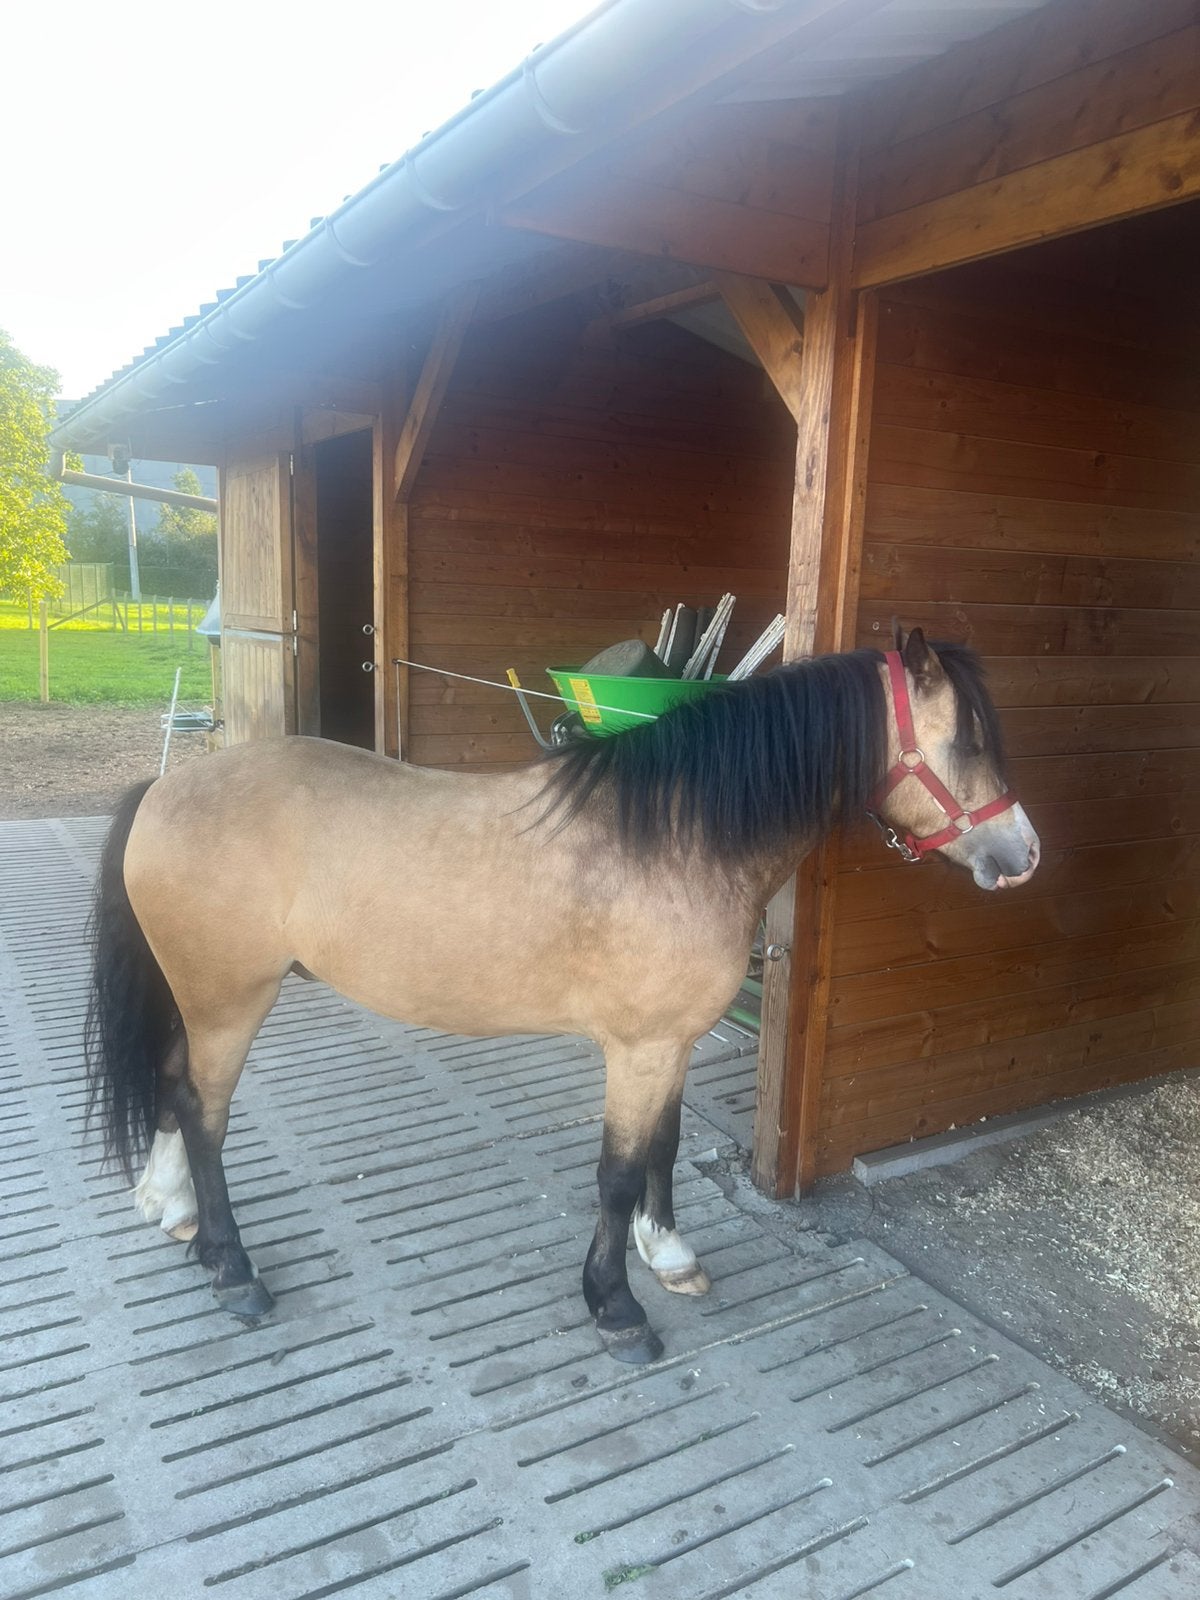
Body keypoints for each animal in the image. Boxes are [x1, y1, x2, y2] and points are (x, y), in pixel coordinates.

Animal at [85, 627, 1039, 1364]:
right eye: (970, 741)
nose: (1024, 855)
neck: (681, 836)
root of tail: (165, 788)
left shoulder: (671, 1042)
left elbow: (663, 1146)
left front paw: (669, 1251)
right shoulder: (638, 1049)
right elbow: (617, 1172)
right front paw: (615, 1307)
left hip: (200, 999)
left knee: (172, 1085)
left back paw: (170, 1208)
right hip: (229, 1002)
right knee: (205, 1112)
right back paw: (233, 1269)